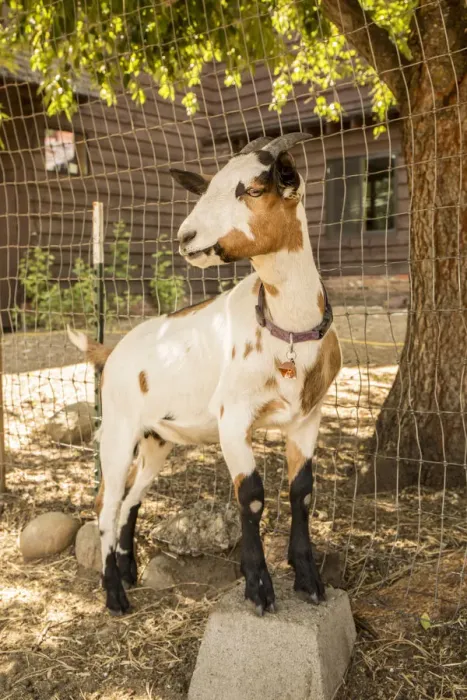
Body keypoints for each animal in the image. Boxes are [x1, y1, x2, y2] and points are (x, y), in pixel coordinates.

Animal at [68, 133, 342, 616]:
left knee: (133, 497)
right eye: (209, 186)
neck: (287, 328)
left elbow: (303, 492)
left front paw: (309, 580)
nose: (185, 237)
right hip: (117, 431)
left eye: (255, 189)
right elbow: (252, 498)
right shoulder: (232, 420)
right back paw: (114, 595)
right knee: (106, 503)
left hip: (156, 441)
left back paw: (128, 570)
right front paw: (259, 589)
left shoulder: (308, 419)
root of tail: (113, 349)